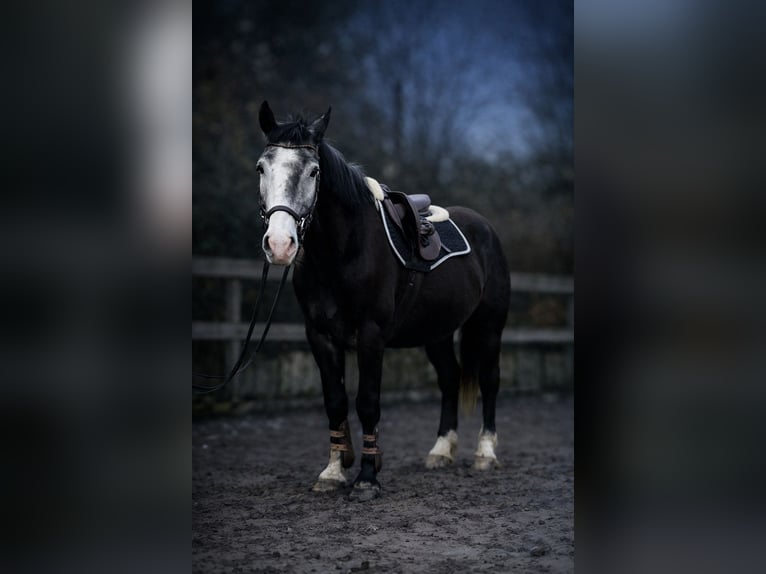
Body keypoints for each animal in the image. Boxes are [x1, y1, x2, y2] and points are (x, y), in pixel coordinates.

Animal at [256, 101, 510, 501]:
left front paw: (366, 479)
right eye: (261, 168)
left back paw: (485, 454)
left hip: (488, 327)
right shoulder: (320, 336)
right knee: (451, 379)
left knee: (490, 380)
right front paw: (333, 472)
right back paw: (441, 451)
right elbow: (335, 401)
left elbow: (367, 403)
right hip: (437, 333)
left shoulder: (371, 335)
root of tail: (485, 229)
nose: (280, 245)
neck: (342, 250)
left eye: (314, 171)